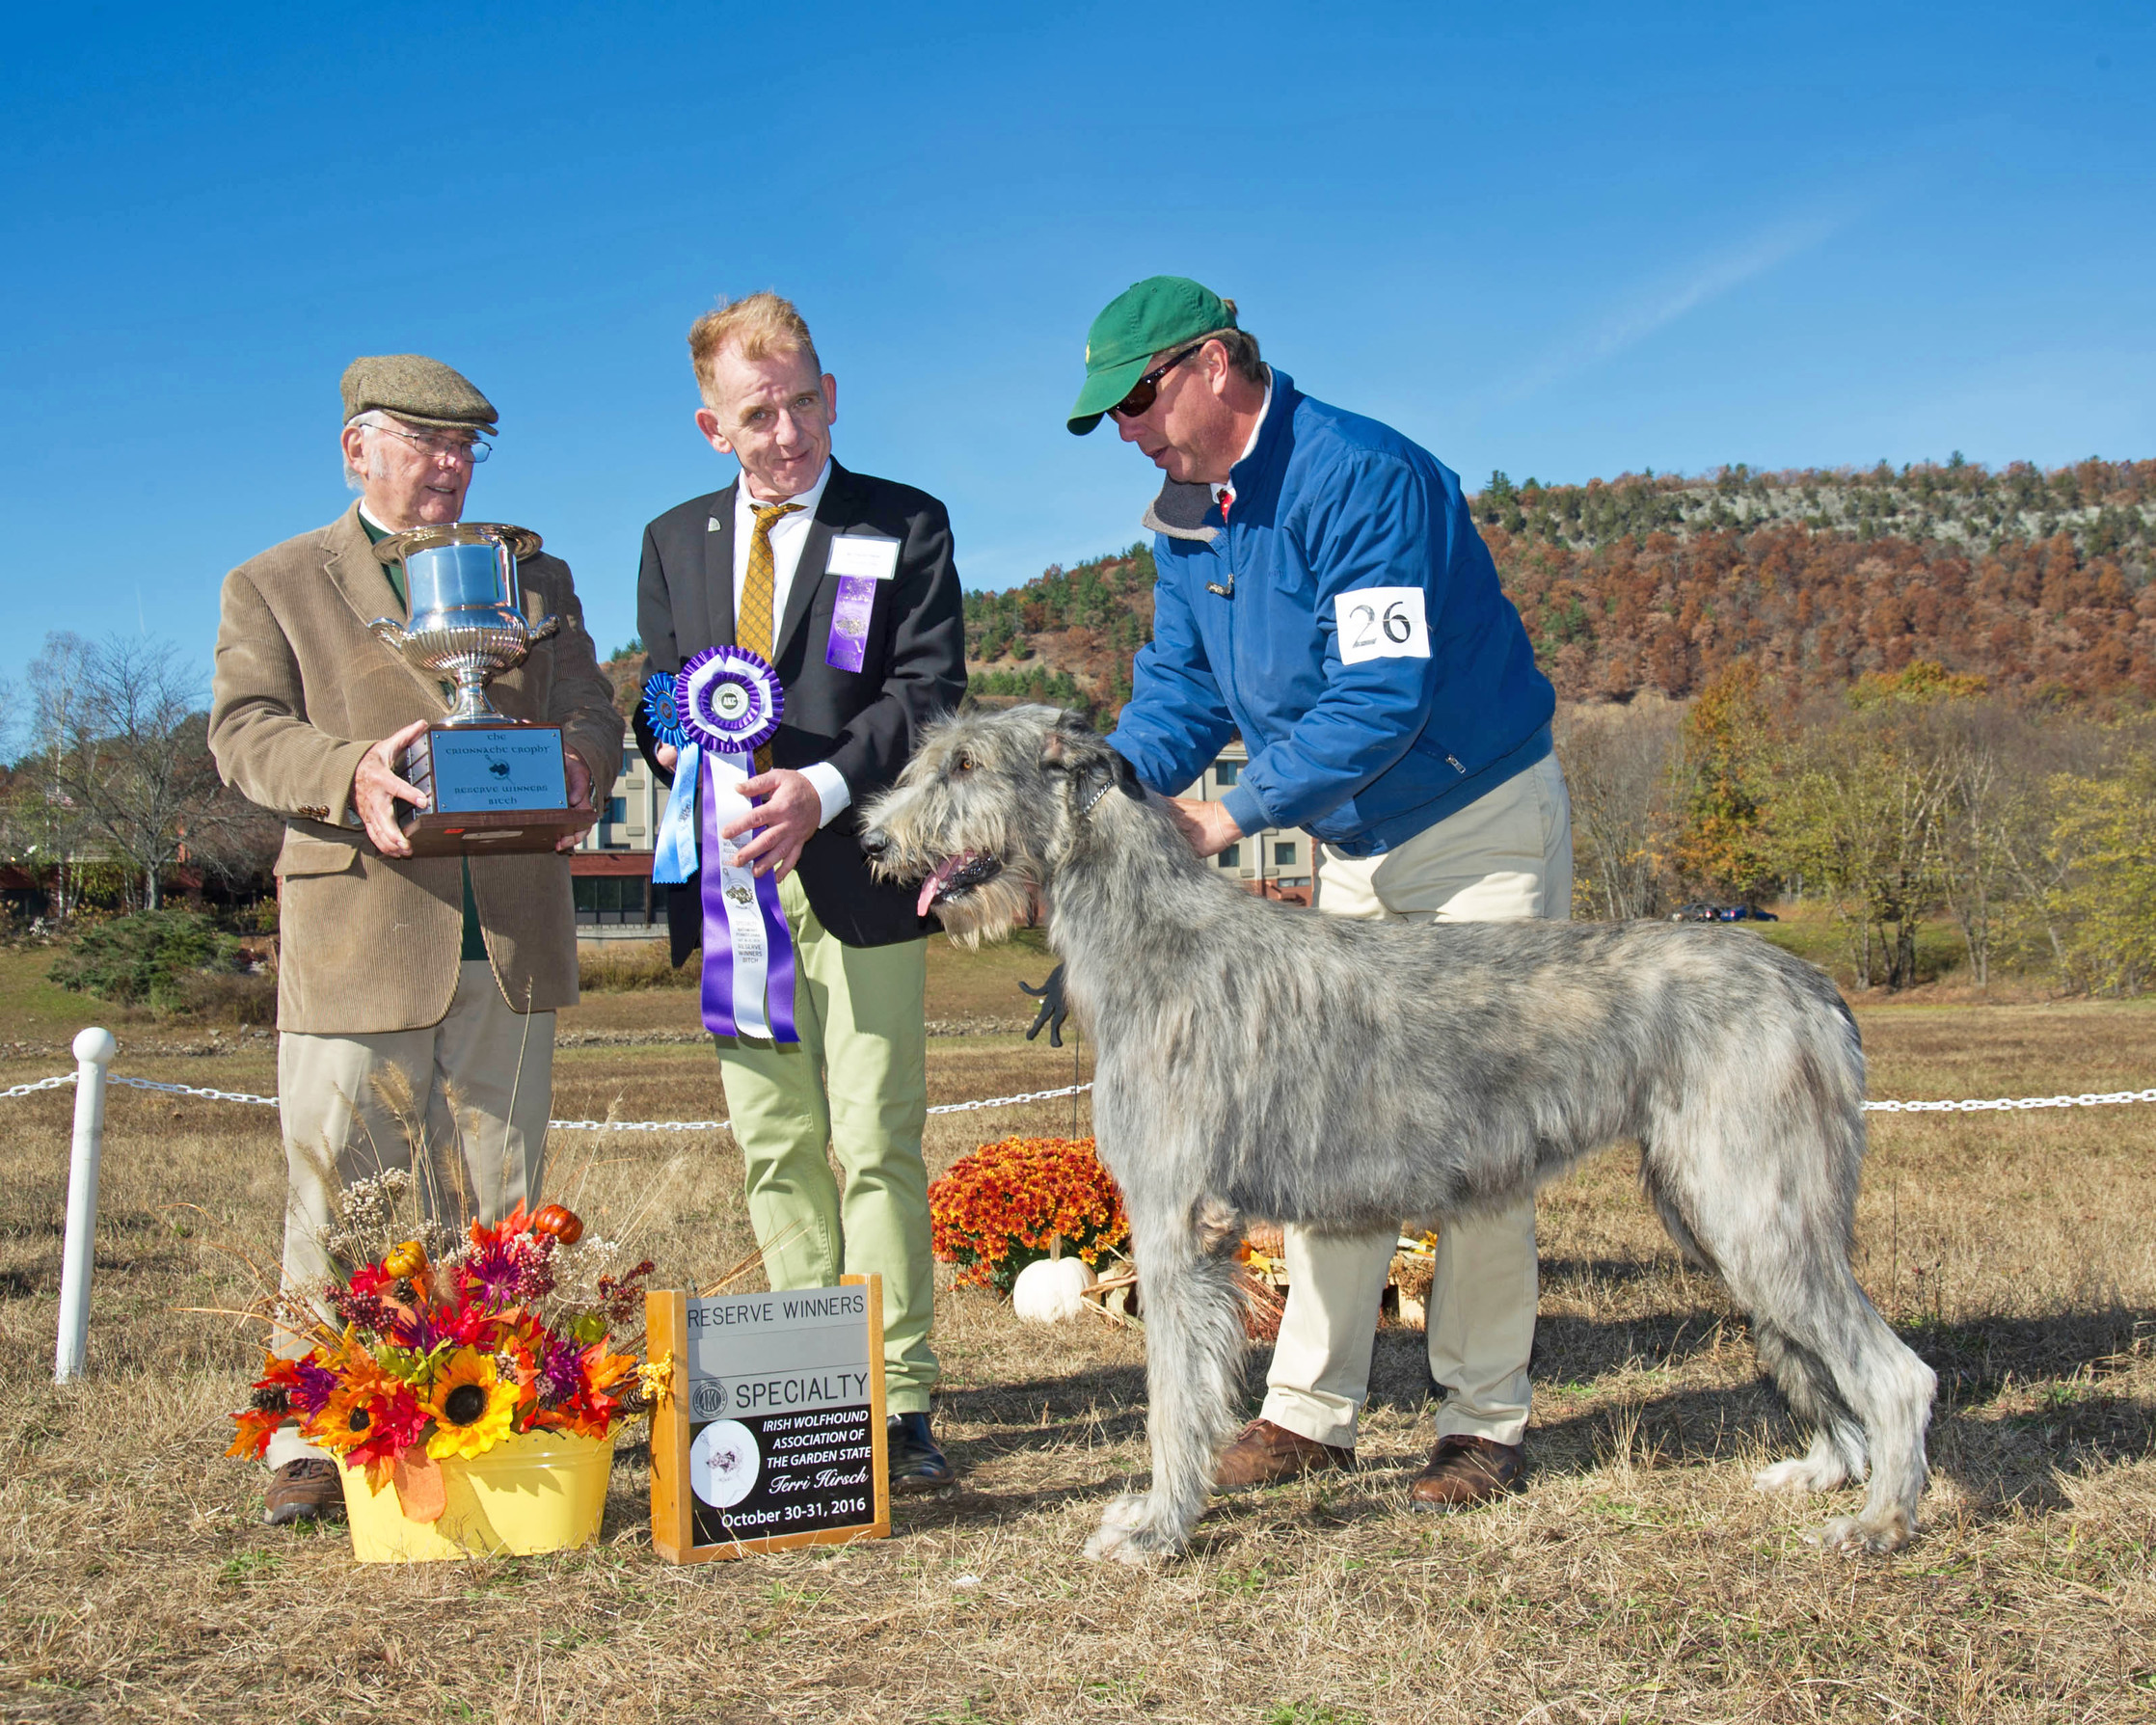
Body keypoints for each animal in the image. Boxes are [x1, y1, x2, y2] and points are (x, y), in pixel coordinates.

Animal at [853, 703, 1940, 1561]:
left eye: (963, 764)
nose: (869, 844)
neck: (1152, 938)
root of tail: (1813, 985)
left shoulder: (1170, 1225)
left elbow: (1173, 1396)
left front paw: (1159, 1526)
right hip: (1720, 1208)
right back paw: (1824, 1468)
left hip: (1755, 1204)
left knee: (1899, 1372)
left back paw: (1878, 1519)